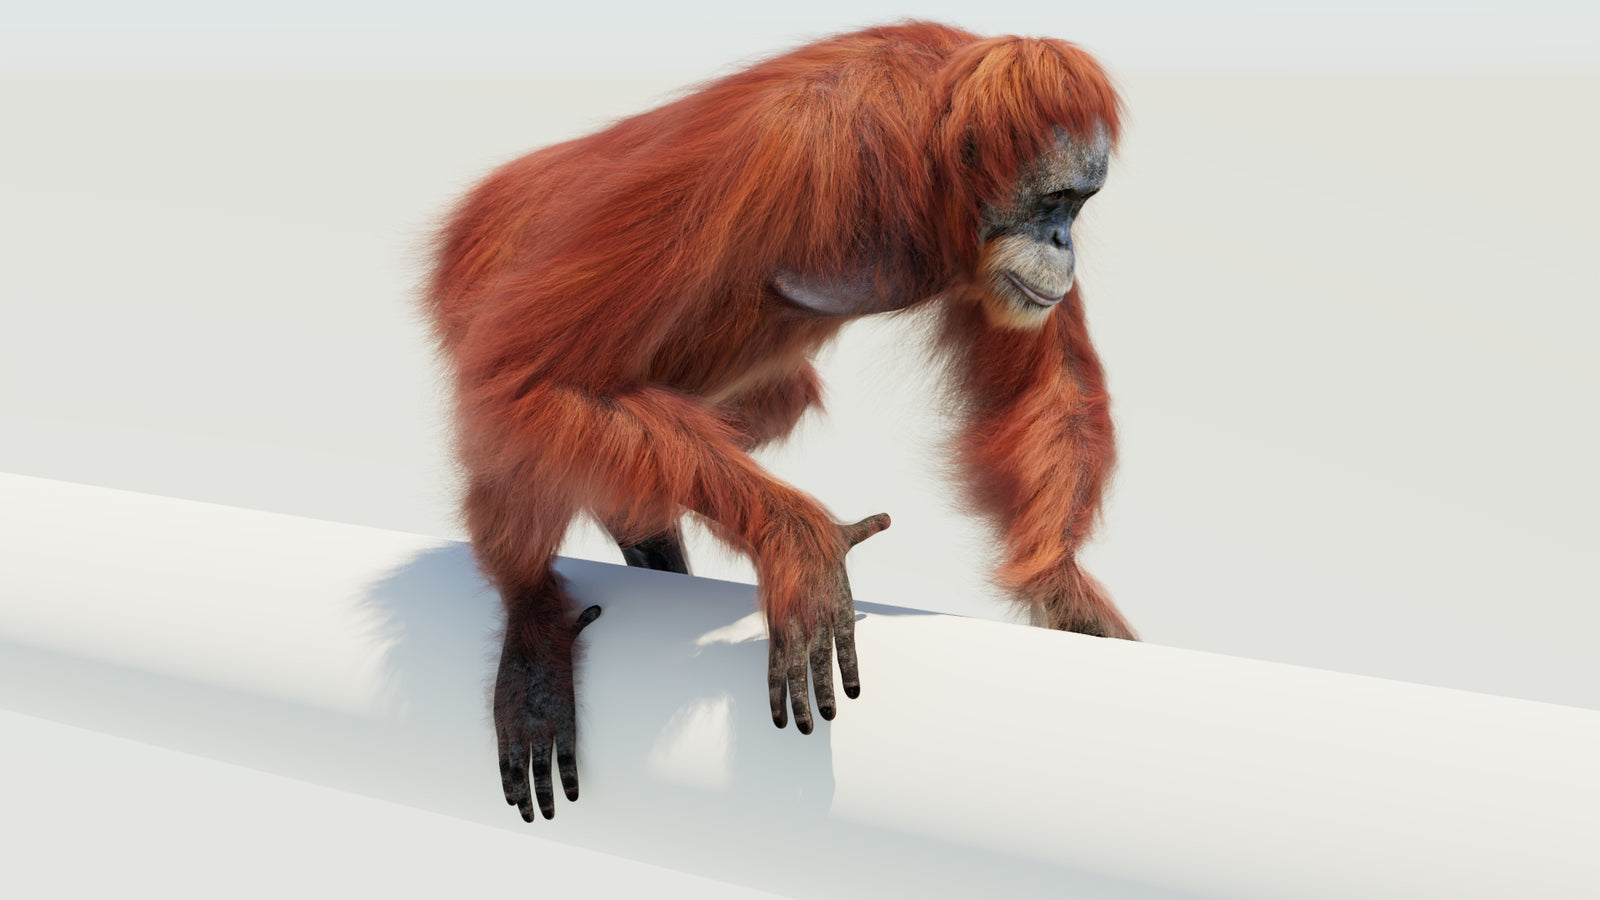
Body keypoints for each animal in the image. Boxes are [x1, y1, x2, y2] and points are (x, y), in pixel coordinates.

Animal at [424, 21, 1135, 823]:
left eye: (1079, 205)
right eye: (1053, 201)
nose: (1062, 243)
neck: (924, 148)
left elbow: (1049, 381)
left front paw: (1065, 592)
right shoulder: (779, 148)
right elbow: (533, 370)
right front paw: (799, 542)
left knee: (763, 402)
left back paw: (640, 534)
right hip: (479, 269)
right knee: (515, 405)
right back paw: (531, 614)